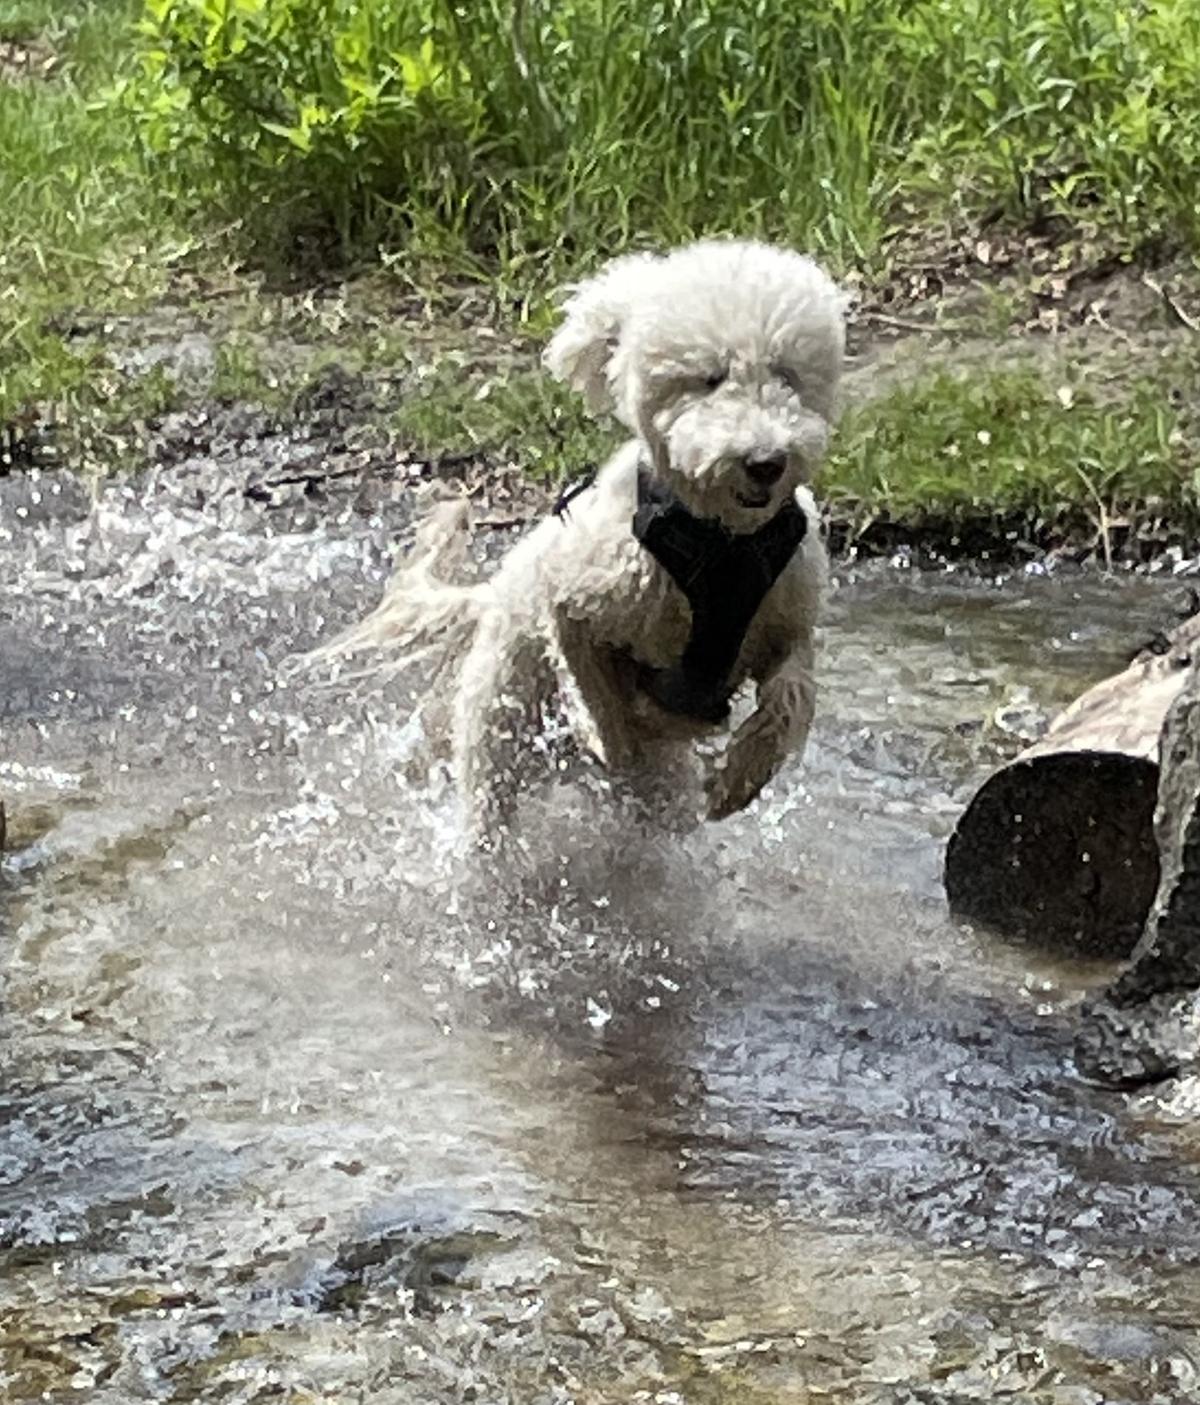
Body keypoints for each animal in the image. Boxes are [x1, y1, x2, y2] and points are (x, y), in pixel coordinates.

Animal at [318, 241, 843, 843]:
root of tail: (490, 594)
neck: (722, 543)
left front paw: (740, 778)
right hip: (498, 719)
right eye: (709, 378)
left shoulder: (787, 621)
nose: (765, 462)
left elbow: (792, 695)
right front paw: (606, 733)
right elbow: (583, 669)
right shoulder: (580, 592)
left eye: (786, 373)